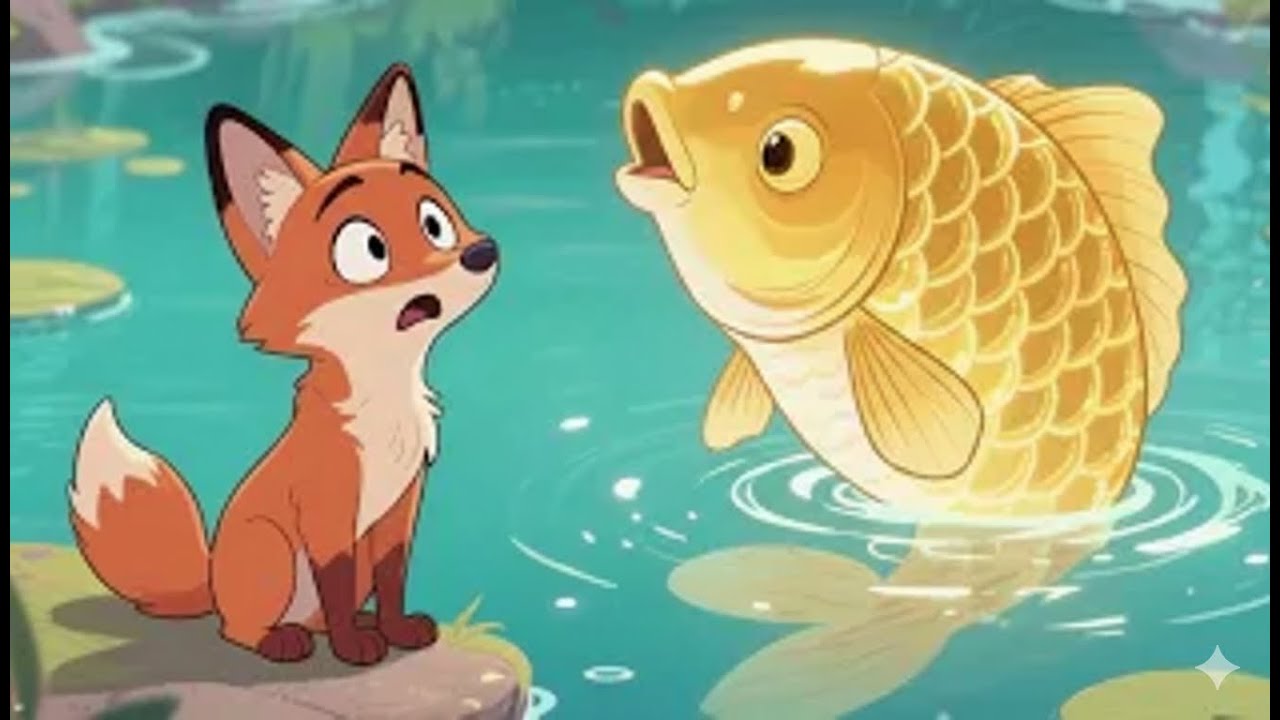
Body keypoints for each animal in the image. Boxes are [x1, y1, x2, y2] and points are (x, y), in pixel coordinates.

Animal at [66, 63, 499, 666]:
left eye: (435, 222)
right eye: (369, 248)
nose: (481, 253)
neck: (385, 394)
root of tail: (212, 585)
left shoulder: (400, 508)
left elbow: (392, 578)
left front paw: (395, 628)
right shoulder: (327, 515)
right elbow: (335, 582)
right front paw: (353, 649)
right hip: (268, 550)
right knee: (240, 629)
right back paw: (282, 639)